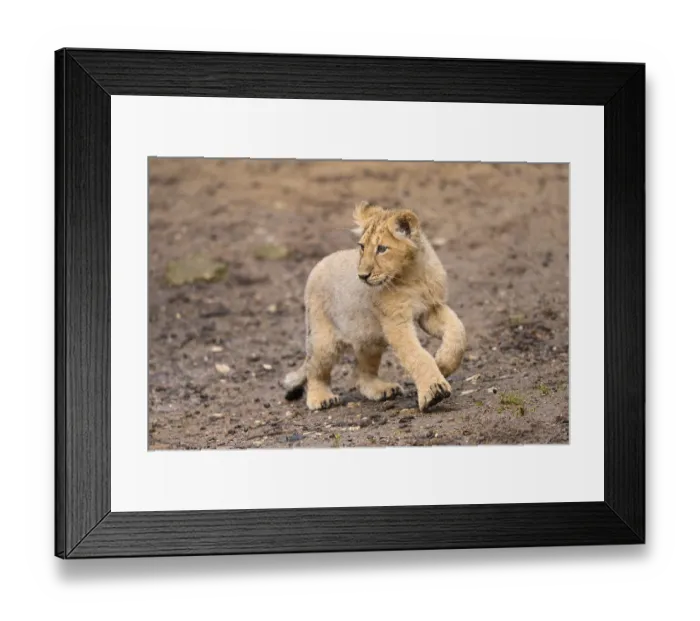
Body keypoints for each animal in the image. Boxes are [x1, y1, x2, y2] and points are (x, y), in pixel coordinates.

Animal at [283, 201, 468, 412]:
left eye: (382, 249)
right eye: (362, 247)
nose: (362, 276)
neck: (413, 275)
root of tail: (317, 265)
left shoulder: (431, 309)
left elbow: (458, 330)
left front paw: (444, 363)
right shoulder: (396, 322)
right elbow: (416, 355)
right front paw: (434, 391)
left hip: (368, 339)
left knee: (362, 373)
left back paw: (383, 389)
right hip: (324, 339)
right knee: (315, 370)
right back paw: (321, 398)